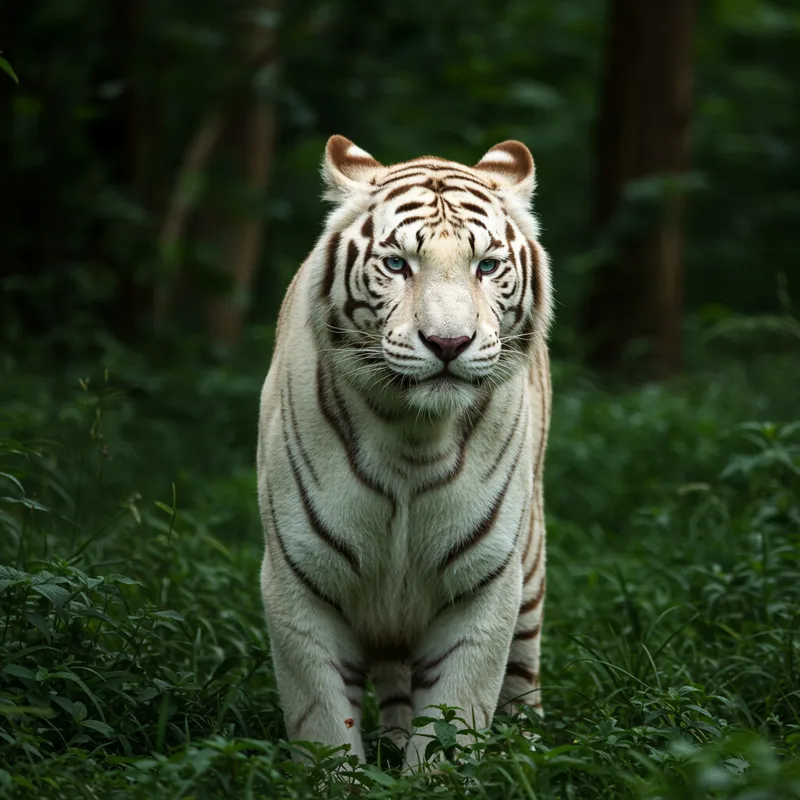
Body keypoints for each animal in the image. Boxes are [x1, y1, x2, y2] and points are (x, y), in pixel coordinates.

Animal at [256, 135, 553, 771]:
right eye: (397, 265)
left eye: (486, 266)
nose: (448, 343)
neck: (412, 440)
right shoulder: (299, 581)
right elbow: (324, 723)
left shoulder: (484, 584)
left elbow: (454, 721)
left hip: (531, 564)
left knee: (523, 675)